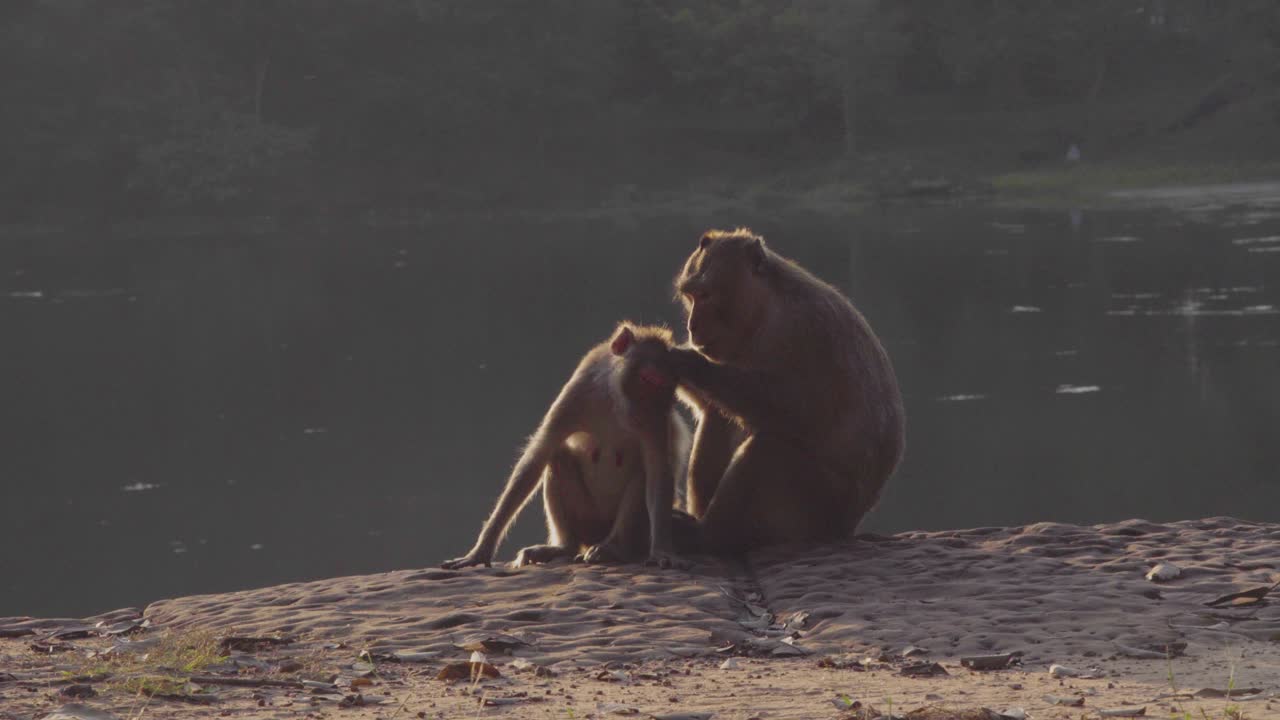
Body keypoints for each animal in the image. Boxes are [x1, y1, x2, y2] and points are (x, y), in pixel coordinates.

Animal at [441, 323, 692, 571]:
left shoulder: (654, 422)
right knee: (558, 456)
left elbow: (658, 470)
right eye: (649, 380)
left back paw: (612, 548)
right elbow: (538, 456)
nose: (650, 409)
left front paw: (662, 550)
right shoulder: (578, 392)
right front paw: (480, 551)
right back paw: (565, 548)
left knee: (642, 474)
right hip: (587, 521)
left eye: (666, 387)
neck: (614, 401)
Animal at [667, 228, 905, 553]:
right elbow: (712, 404)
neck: (765, 311)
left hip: (813, 506)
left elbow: (793, 409)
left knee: (768, 448)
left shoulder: (806, 330)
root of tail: (845, 528)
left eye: (705, 295)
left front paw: (686, 361)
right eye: (690, 296)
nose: (692, 327)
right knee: (720, 416)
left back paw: (709, 536)